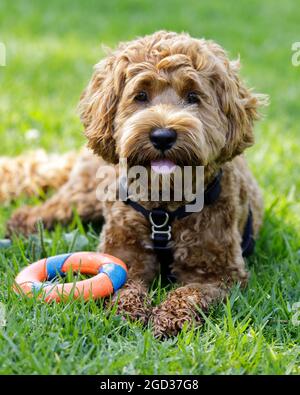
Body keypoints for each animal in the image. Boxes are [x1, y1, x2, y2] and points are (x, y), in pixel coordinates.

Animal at [4, 31, 268, 338]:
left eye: (193, 97)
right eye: (140, 95)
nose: (163, 135)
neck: (164, 206)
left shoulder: (218, 273)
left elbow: (190, 293)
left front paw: (169, 317)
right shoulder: (124, 256)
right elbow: (126, 285)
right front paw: (127, 311)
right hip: (82, 197)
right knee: (45, 210)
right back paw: (21, 226)